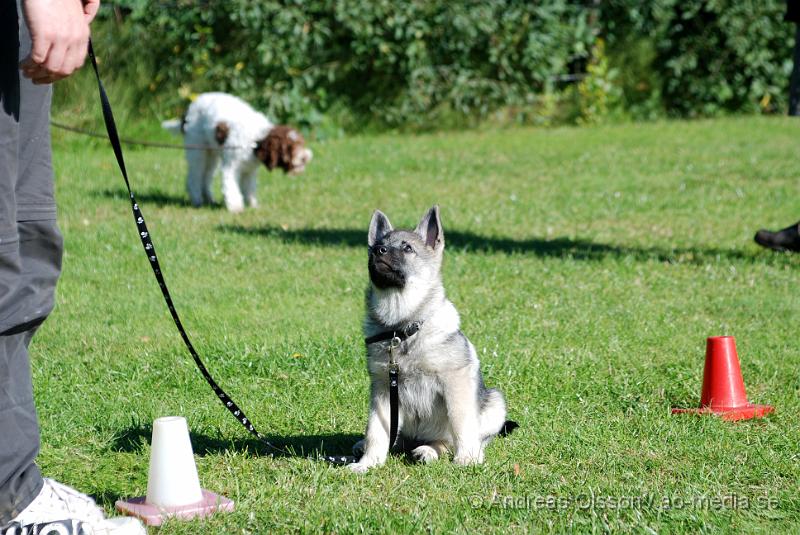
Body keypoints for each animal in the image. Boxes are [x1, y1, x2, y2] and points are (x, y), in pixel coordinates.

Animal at [348, 205, 506, 474]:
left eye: (407, 248)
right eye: (377, 245)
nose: (378, 251)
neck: (402, 328)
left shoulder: (455, 382)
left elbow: (461, 424)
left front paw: (467, 459)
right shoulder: (383, 388)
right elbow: (376, 431)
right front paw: (368, 463)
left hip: (495, 403)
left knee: (448, 440)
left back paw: (429, 451)